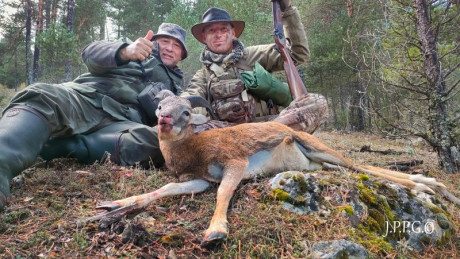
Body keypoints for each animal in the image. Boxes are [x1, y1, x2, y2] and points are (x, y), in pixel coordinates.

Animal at [88, 92, 458, 249]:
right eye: (161, 106)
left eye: (185, 112)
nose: (164, 119)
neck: (193, 153)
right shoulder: (198, 180)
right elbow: (163, 190)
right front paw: (110, 207)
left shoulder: (234, 163)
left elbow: (224, 192)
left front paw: (215, 232)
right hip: (318, 161)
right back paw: (431, 187)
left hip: (321, 147)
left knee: (362, 165)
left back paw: (431, 187)